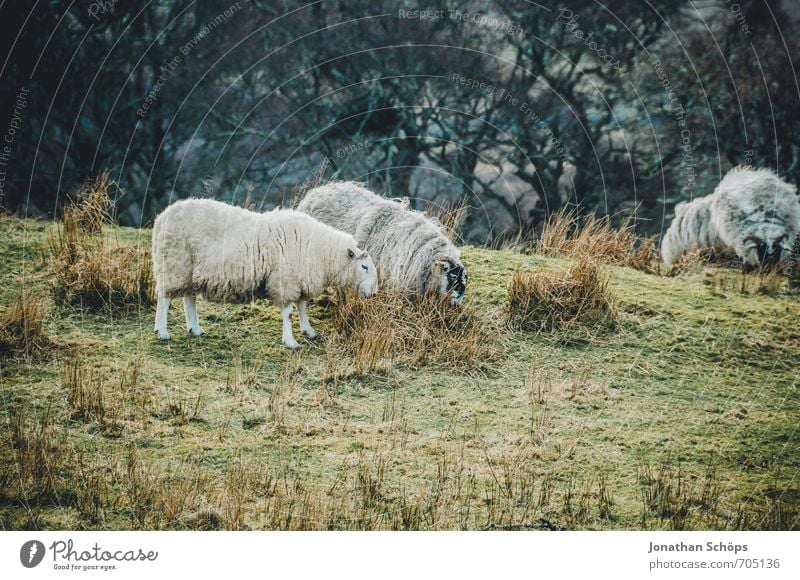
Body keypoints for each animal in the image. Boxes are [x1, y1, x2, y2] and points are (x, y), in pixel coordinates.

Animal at [152, 198, 378, 348]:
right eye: (364, 267)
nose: (374, 293)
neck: (321, 250)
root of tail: (162, 217)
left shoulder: (299, 280)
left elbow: (302, 307)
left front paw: (309, 331)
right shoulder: (285, 280)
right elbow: (288, 313)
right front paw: (290, 342)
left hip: (188, 270)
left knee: (188, 298)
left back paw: (195, 329)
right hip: (174, 263)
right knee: (164, 298)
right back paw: (162, 332)